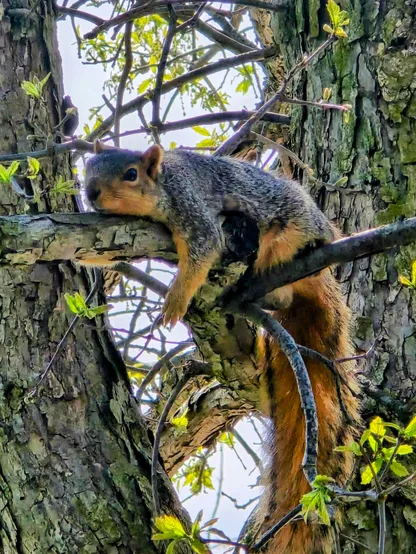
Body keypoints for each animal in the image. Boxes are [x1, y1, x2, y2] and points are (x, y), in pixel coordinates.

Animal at [83, 141, 358, 552]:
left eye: (131, 174)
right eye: (88, 167)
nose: (91, 193)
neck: (162, 184)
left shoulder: (193, 211)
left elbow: (201, 253)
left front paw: (175, 302)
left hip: (295, 222)